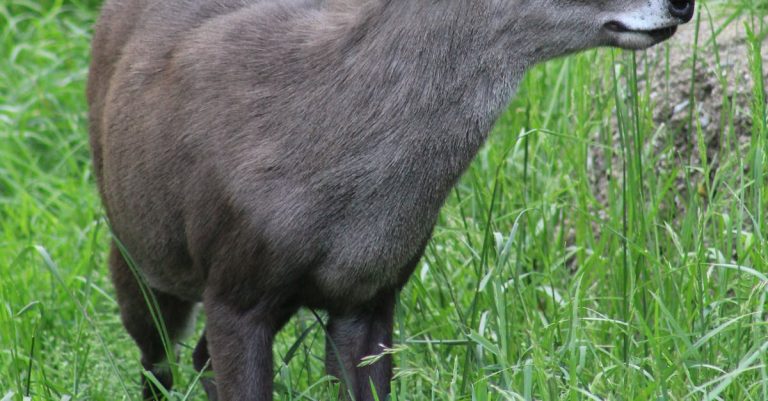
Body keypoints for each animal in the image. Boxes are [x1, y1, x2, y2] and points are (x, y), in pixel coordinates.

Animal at [87, 0, 692, 398]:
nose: (682, 2)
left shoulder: (373, 295)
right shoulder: (236, 289)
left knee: (195, 361)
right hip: (135, 244)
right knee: (157, 361)